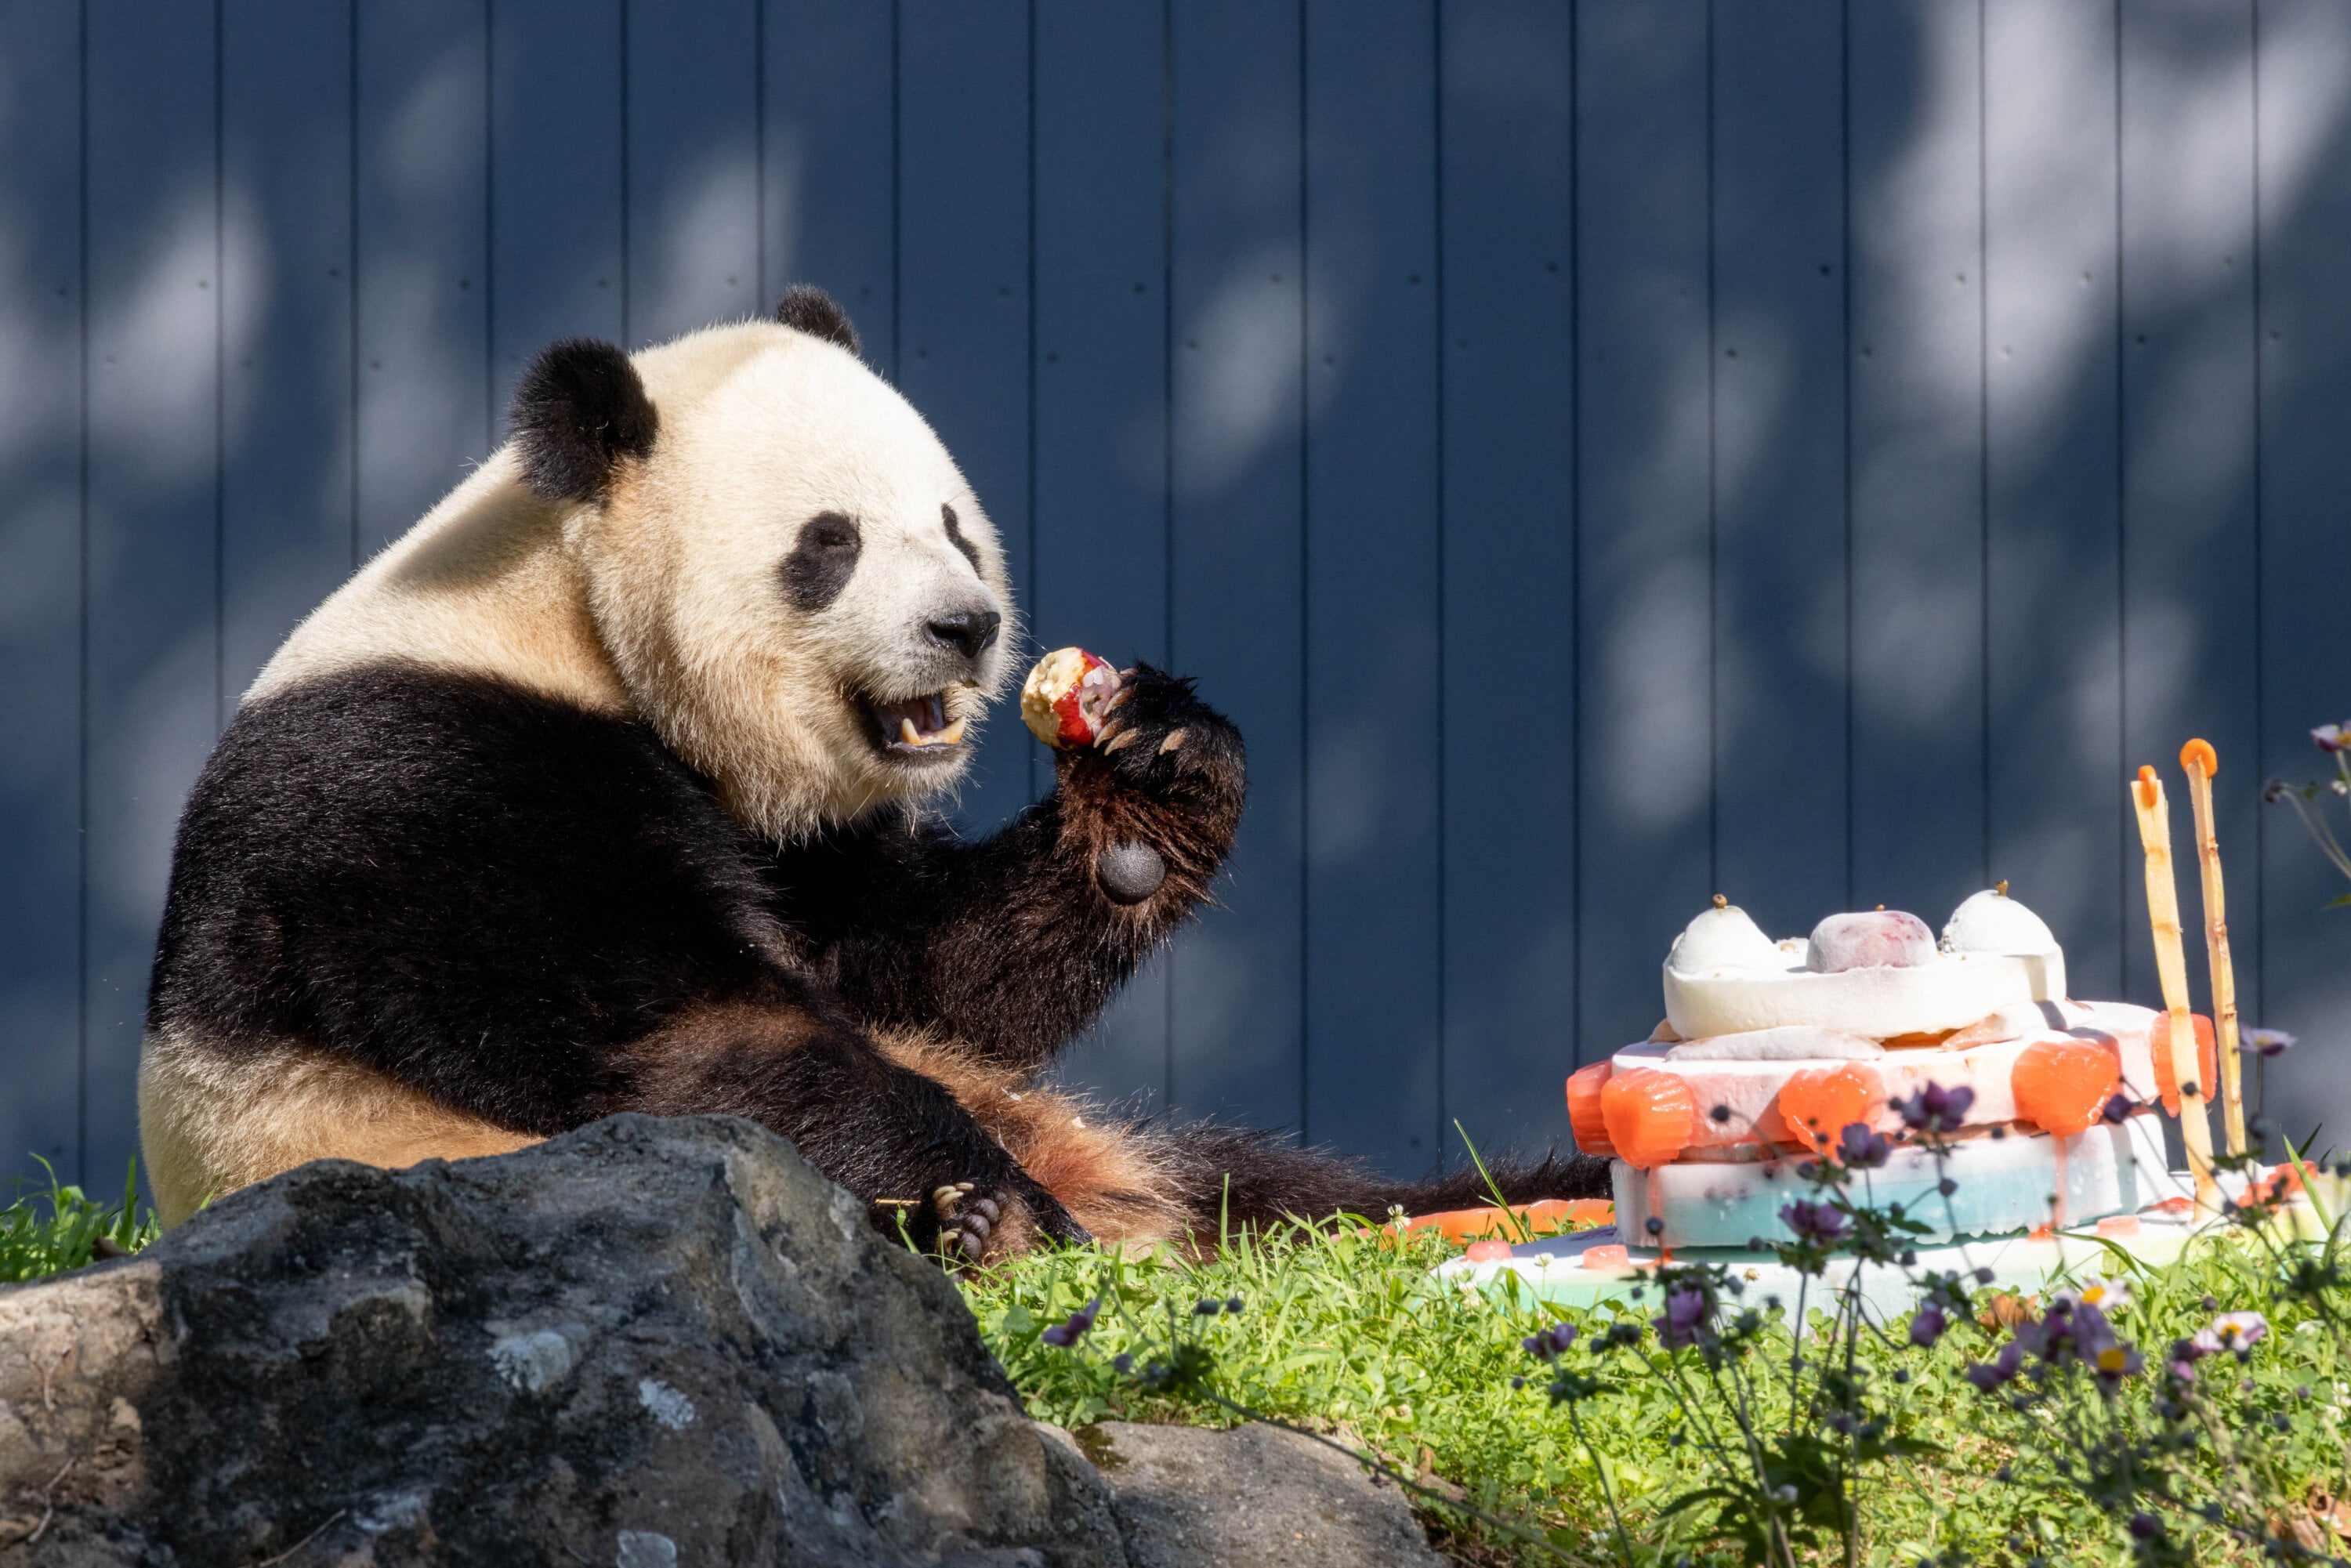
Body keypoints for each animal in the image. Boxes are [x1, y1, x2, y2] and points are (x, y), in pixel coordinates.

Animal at [139, 286, 1605, 1260]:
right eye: (829, 543)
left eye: (952, 522)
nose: (966, 626)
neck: (561, 614)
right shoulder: (429, 778)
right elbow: (684, 1040)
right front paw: (1002, 1216)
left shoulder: (797, 834)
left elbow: (919, 978)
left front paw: (1160, 775)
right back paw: (1003, 1223)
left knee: (1269, 1188)